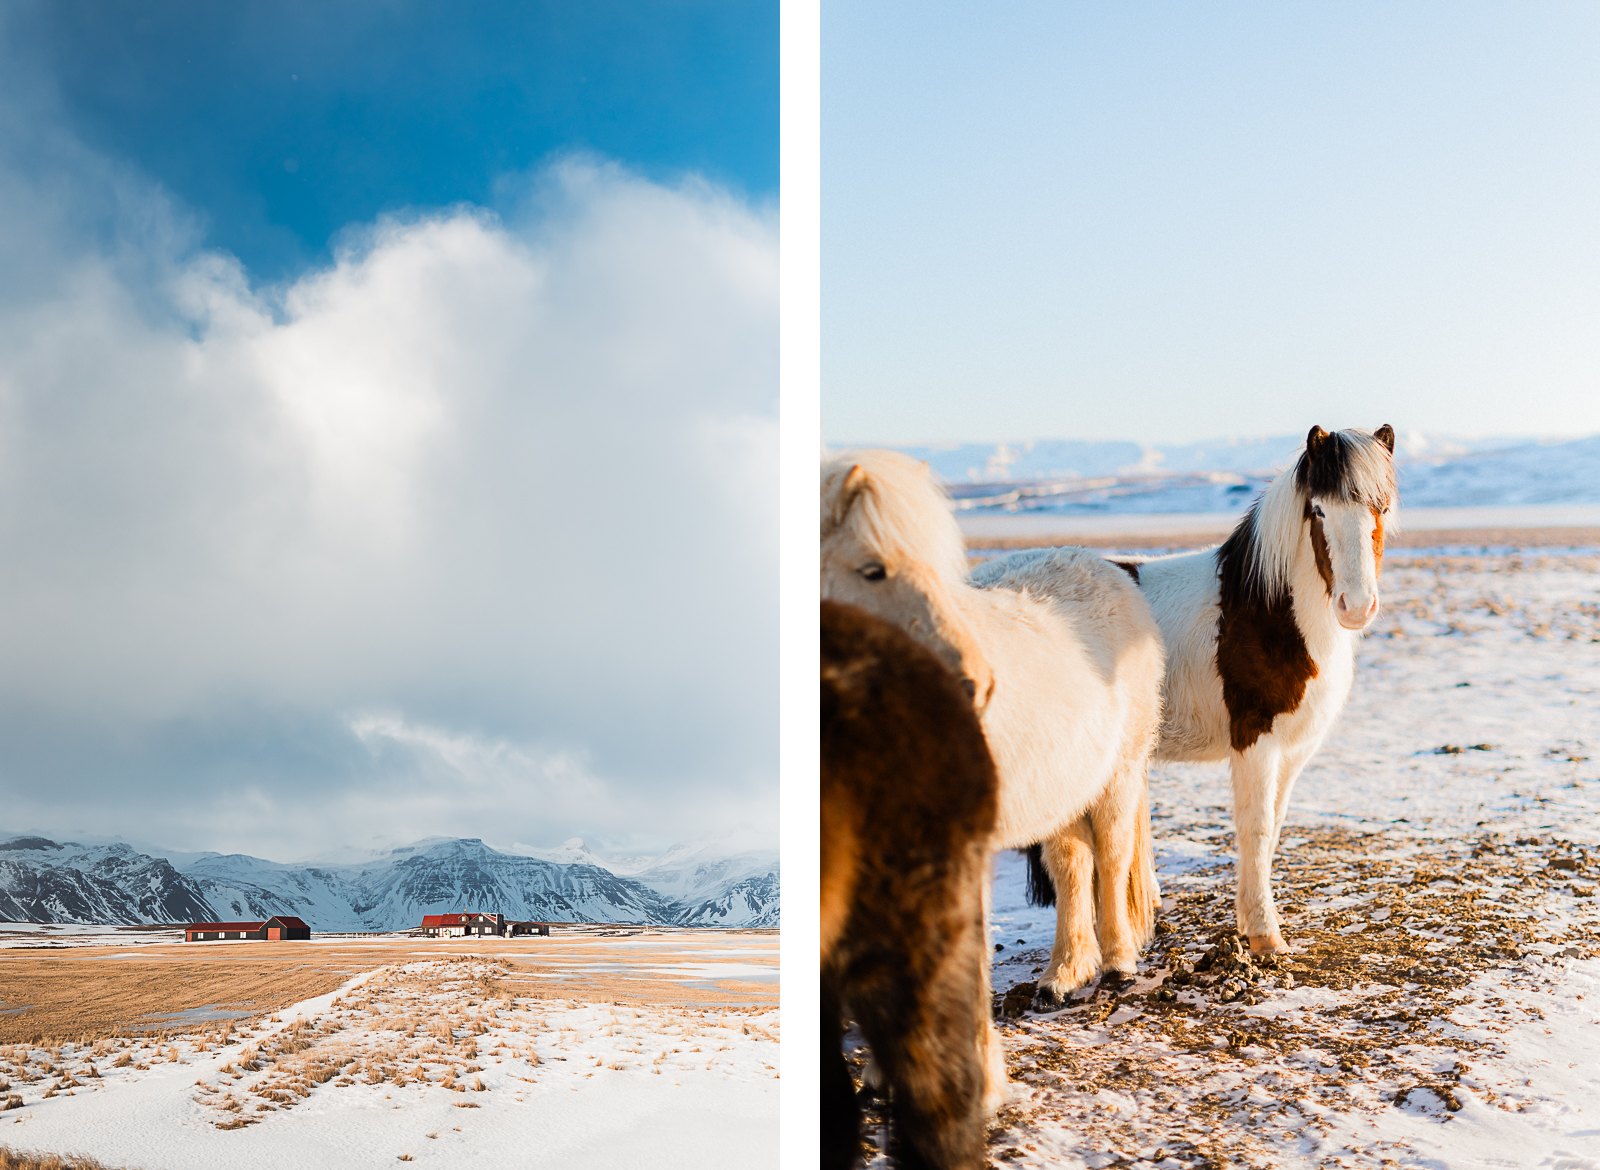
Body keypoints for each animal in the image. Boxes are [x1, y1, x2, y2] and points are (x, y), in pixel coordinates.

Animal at [825, 454, 1164, 1005]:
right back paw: (1063, 974)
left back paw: (1117, 965)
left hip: (1119, 773)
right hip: (1061, 784)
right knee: (1072, 862)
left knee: (1111, 858)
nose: (974, 684)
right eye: (873, 570)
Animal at [972, 425, 1401, 953]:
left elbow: (1273, 828)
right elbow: (1256, 828)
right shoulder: (1254, 740)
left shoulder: (1294, 749)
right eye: (1319, 510)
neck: (1264, 613)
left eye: (1382, 508)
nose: (1356, 607)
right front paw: (1264, 935)